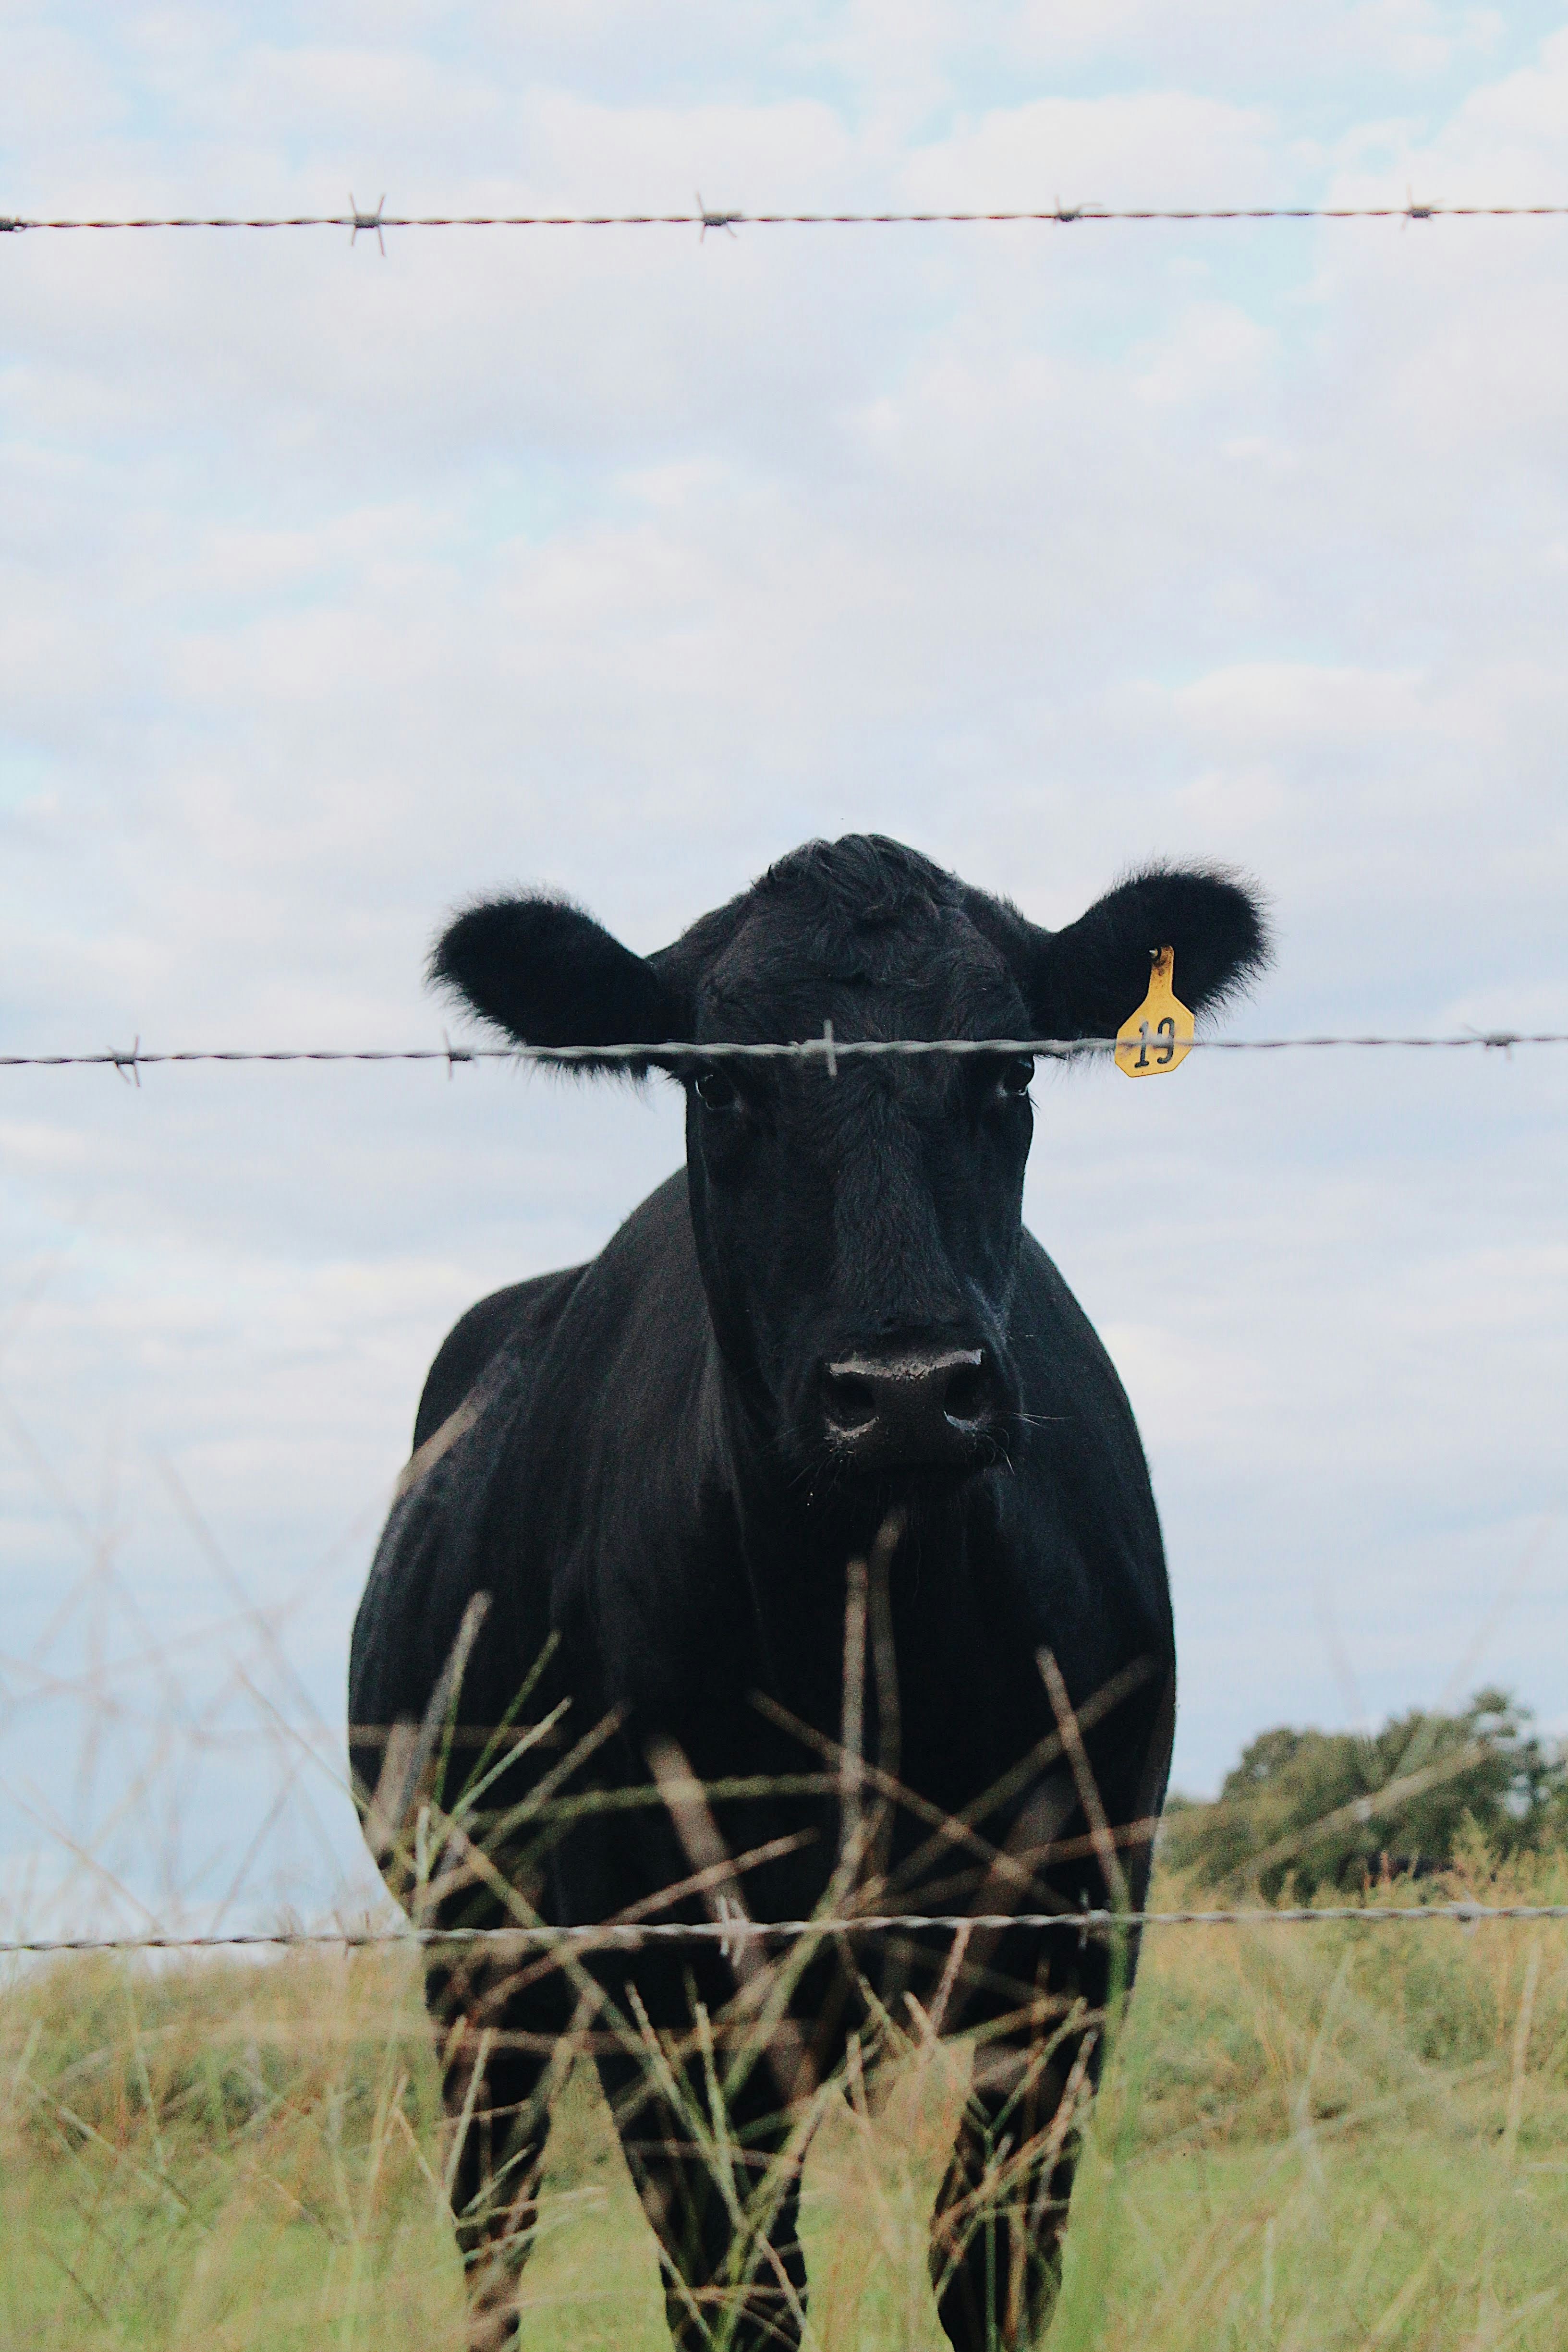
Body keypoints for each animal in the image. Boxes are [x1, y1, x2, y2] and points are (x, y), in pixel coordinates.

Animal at [349, 833, 1267, 2351]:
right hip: (477, 1952)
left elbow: (989, 2269)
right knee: (492, 2230)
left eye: (1007, 1069)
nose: (903, 1390)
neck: (869, 1632)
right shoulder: (667, 1973)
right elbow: (738, 2292)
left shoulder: (1077, 1939)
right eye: (720, 1080)